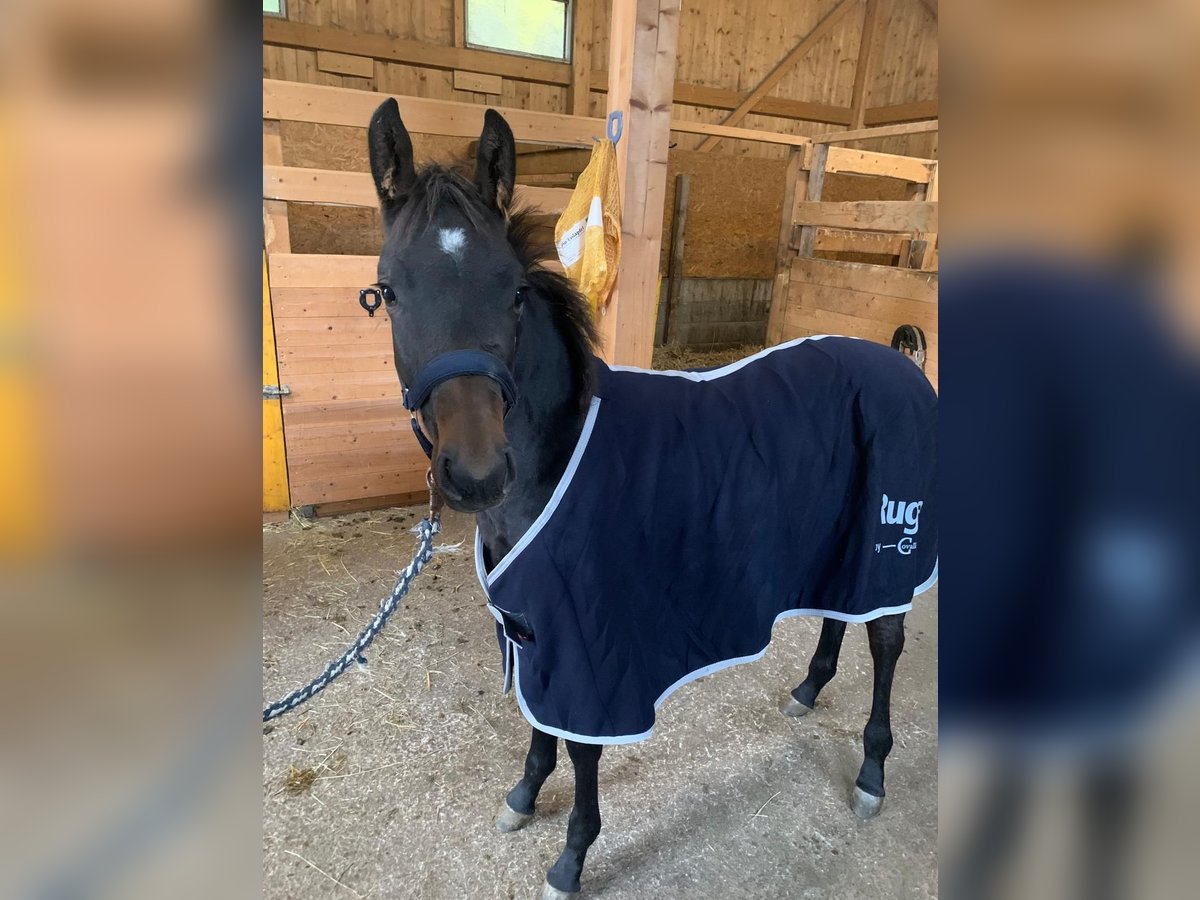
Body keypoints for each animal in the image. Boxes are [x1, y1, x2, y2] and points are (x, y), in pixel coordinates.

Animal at [364, 98, 936, 897]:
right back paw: (808, 691)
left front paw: (571, 859)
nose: (478, 472)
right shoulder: (537, 625)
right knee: (838, 616)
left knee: (885, 642)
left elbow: (581, 748)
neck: (558, 460)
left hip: (890, 547)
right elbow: (541, 725)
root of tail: (901, 362)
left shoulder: (594, 644)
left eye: (514, 291)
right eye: (389, 291)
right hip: (840, 545)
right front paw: (523, 796)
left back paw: (872, 773)